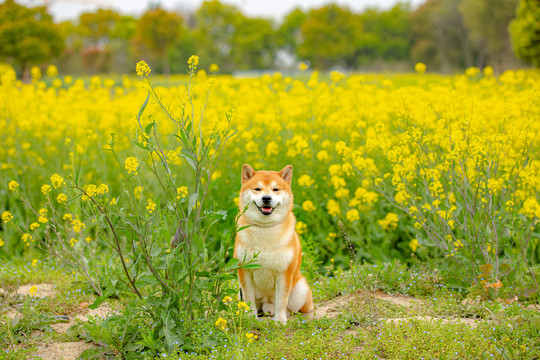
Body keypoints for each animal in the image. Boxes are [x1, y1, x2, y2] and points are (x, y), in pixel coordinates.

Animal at [234, 165, 314, 322]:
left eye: (275, 189)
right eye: (257, 189)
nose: (266, 198)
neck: (265, 229)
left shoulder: (284, 273)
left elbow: (281, 301)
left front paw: (280, 321)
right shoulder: (244, 271)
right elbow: (249, 300)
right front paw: (251, 318)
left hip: (300, 290)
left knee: (296, 308)